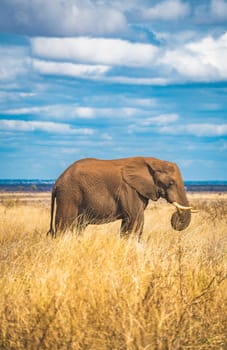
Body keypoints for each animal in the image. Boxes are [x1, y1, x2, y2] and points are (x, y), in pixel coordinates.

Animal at [47, 157, 193, 239]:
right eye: (171, 183)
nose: (175, 216)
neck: (153, 162)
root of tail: (56, 183)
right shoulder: (129, 190)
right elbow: (135, 219)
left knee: (78, 227)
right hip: (69, 195)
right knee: (65, 226)